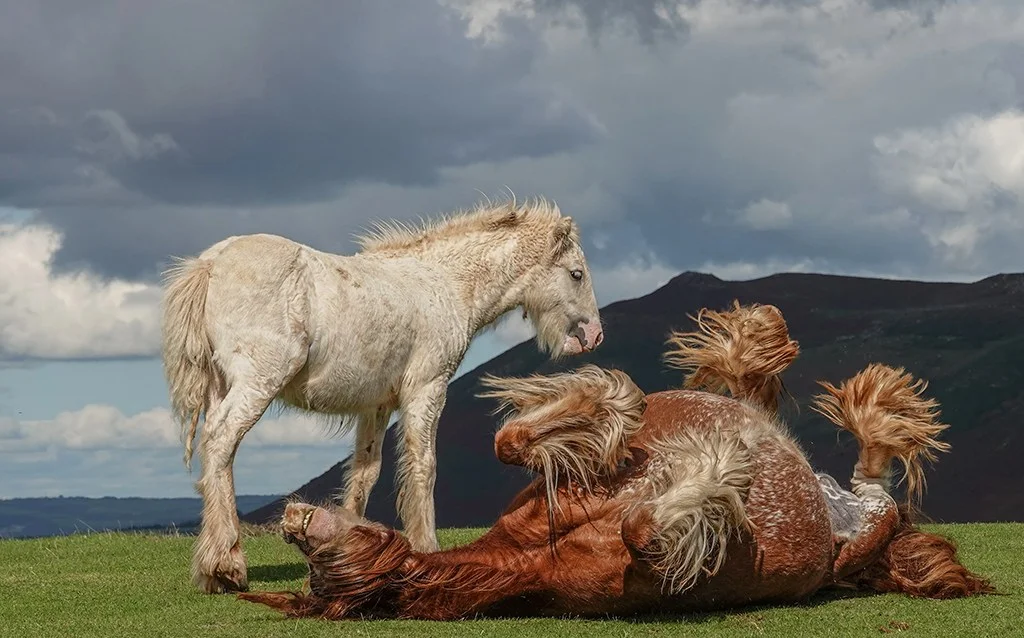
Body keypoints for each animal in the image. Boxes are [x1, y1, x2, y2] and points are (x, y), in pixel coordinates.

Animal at [159, 196, 605, 594]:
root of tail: (213, 262)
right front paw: (426, 547)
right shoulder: (427, 389)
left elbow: (363, 474)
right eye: (576, 274)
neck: (444, 284)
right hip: (257, 382)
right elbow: (423, 465)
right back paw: (225, 565)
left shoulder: (374, 406)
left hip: (222, 387)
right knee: (221, 443)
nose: (594, 336)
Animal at [237, 301, 991, 620]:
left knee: (757, 393)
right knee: (873, 473)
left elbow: (514, 440)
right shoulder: (652, 565)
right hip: (863, 527)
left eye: (322, 557)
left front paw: (608, 401)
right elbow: (644, 526)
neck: (533, 559)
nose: (292, 522)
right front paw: (720, 469)